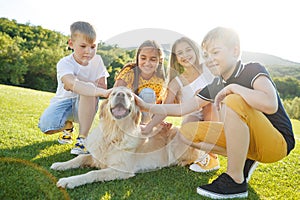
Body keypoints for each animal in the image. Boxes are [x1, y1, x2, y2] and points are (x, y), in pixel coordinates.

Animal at [50, 86, 202, 189]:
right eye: (113, 93)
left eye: (129, 96)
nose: (121, 94)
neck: (114, 133)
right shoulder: (97, 156)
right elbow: (80, 158)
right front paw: (61, 165)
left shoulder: (121, 169)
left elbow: (92, 173)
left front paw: (69, 181)